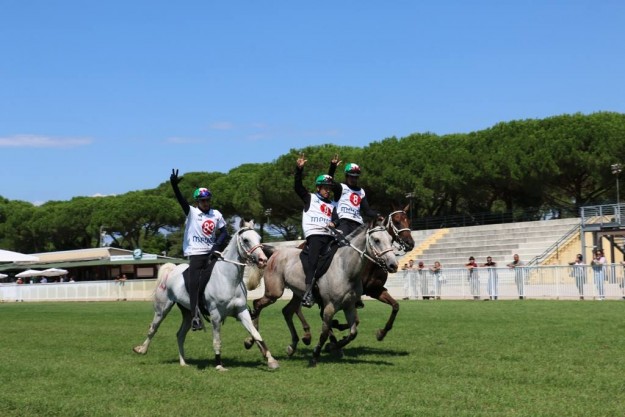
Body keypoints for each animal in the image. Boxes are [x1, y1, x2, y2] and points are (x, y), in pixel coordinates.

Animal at [133, 220, 279, 371]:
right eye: (245, 240)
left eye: (259, 239)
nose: (263, 260)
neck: (228, 278)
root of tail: (172, 270)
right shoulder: (216, 315)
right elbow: (217, 340)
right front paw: (219, 365)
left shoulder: (241, 311)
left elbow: (255, 333)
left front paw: (271, 360)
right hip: (162, 309)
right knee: (153, 328)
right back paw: (141, 349)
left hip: (188, 313)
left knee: (180, 335)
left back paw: (183, 362)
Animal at [246, 217, 398, 367]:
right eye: (377, 240)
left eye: (391, 239)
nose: (393, 265)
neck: (345, 269)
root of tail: (276, 251)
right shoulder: (329, 307)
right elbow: (325, 332)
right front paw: (316, 355)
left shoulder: (349, 306)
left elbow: (353, 332)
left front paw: (333, 347)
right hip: (274, 292)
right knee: (257, 304)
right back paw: (252, 341)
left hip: (297, 294)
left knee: (287, 311)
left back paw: (291, 346)